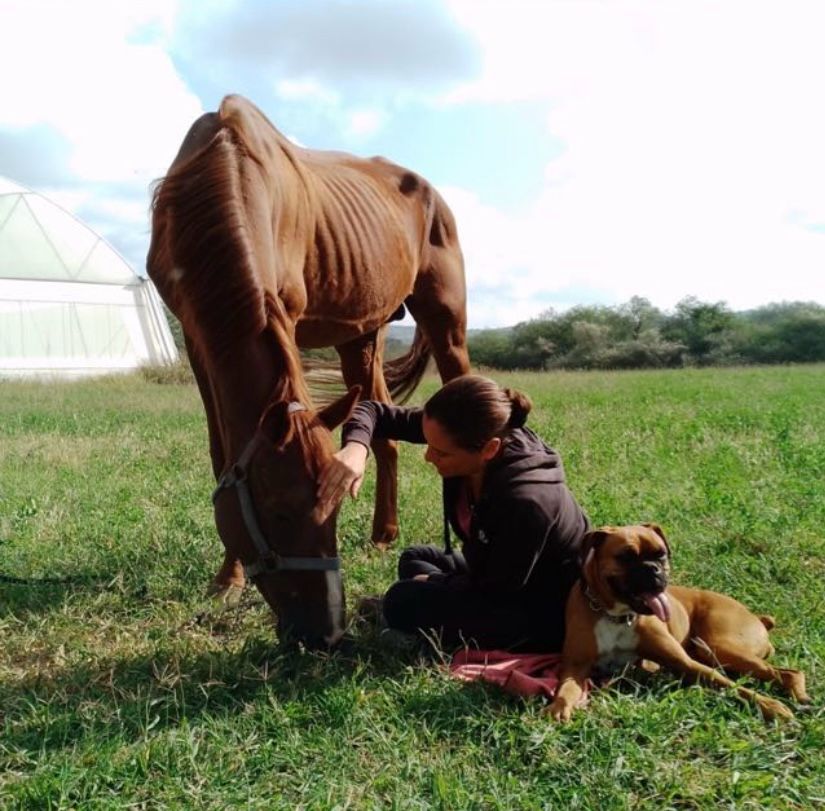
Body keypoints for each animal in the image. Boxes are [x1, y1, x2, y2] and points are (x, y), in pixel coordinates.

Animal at [147, 94, 469, 644]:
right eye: (279, 512)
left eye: (335, 509)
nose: (327, 631)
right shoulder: (195, 335)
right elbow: (220, 452)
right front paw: (228, 579)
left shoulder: (287, 315)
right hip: (361, 333)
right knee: (380, 427)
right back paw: (384, 535)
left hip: (445, 321)